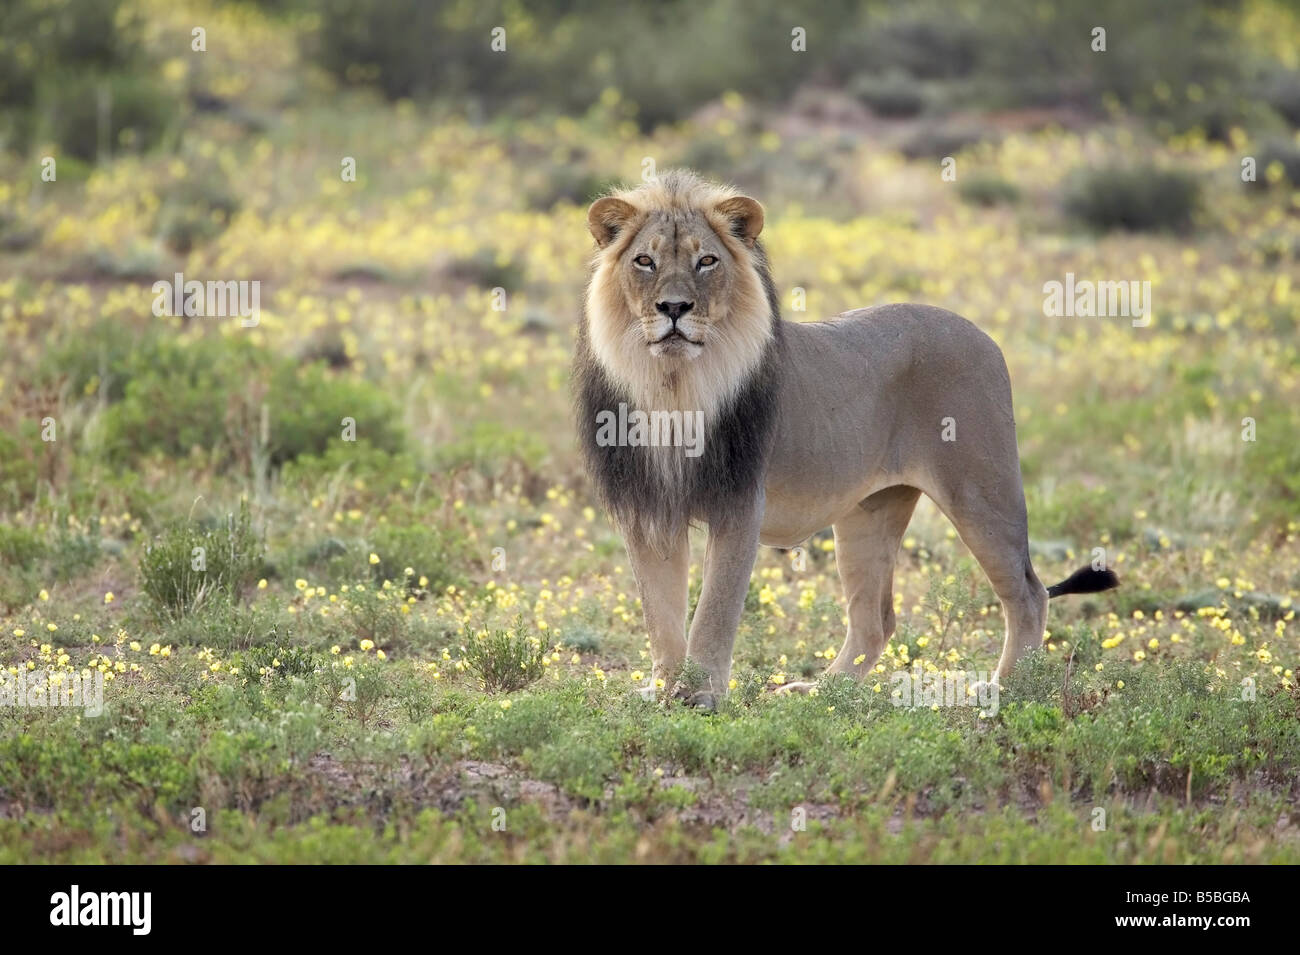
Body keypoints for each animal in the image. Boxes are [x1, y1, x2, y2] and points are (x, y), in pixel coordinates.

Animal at [572, 170, 1118, 712]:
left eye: (706, 260)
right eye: (645, 261)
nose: (674, 308)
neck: (674, 385)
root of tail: (982, 334)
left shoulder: (740, 503)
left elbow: (714, 610)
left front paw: (702, 693)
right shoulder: (648, 509)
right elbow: (660, 614)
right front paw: (663, 690)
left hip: (982, 493)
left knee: (1028, 592)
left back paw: (1004, 689)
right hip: (869, 513)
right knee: (876, 621)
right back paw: (820, 693)